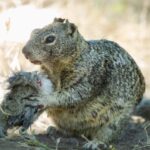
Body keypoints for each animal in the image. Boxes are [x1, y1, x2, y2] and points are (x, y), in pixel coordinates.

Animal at [17, 17, 145, 149]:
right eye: (33, 31)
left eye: (50, 39)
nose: (24, 51)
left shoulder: (89, 79)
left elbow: (71, 95)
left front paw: (43, 98)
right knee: (72, 132)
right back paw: (55, 131)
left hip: (114, 121)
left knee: (107, 135)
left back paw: (95, 142)